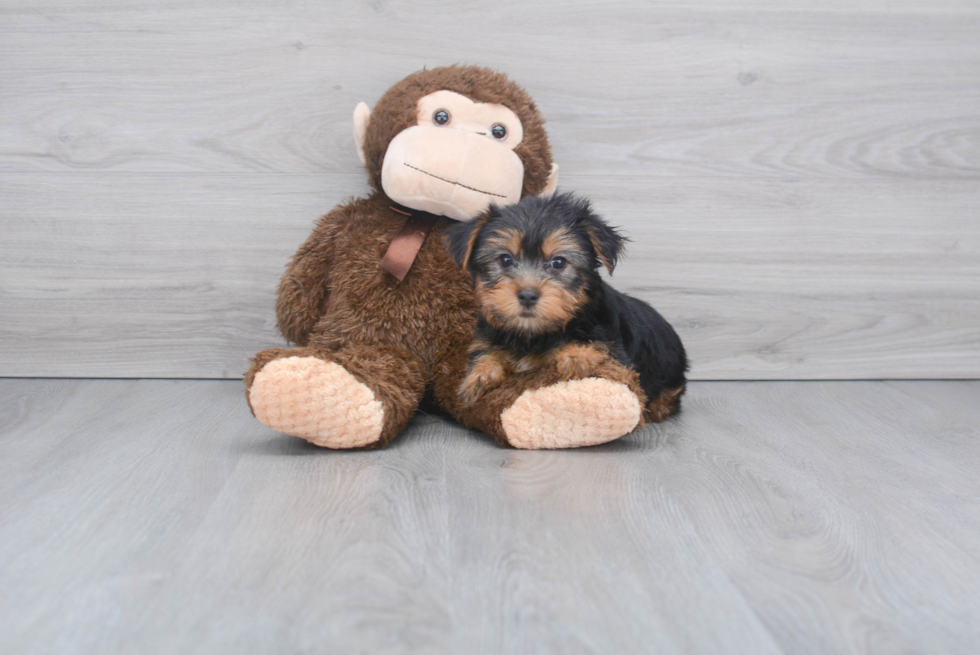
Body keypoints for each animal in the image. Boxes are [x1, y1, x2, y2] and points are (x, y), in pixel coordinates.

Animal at [446, 191, 684, 426]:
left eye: (558, 262)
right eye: (505, 259)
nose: (527, 295)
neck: (533, 334)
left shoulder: (612, 345)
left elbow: (594, 347)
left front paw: (576, 357)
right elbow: (486, 354)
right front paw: (480, 376)